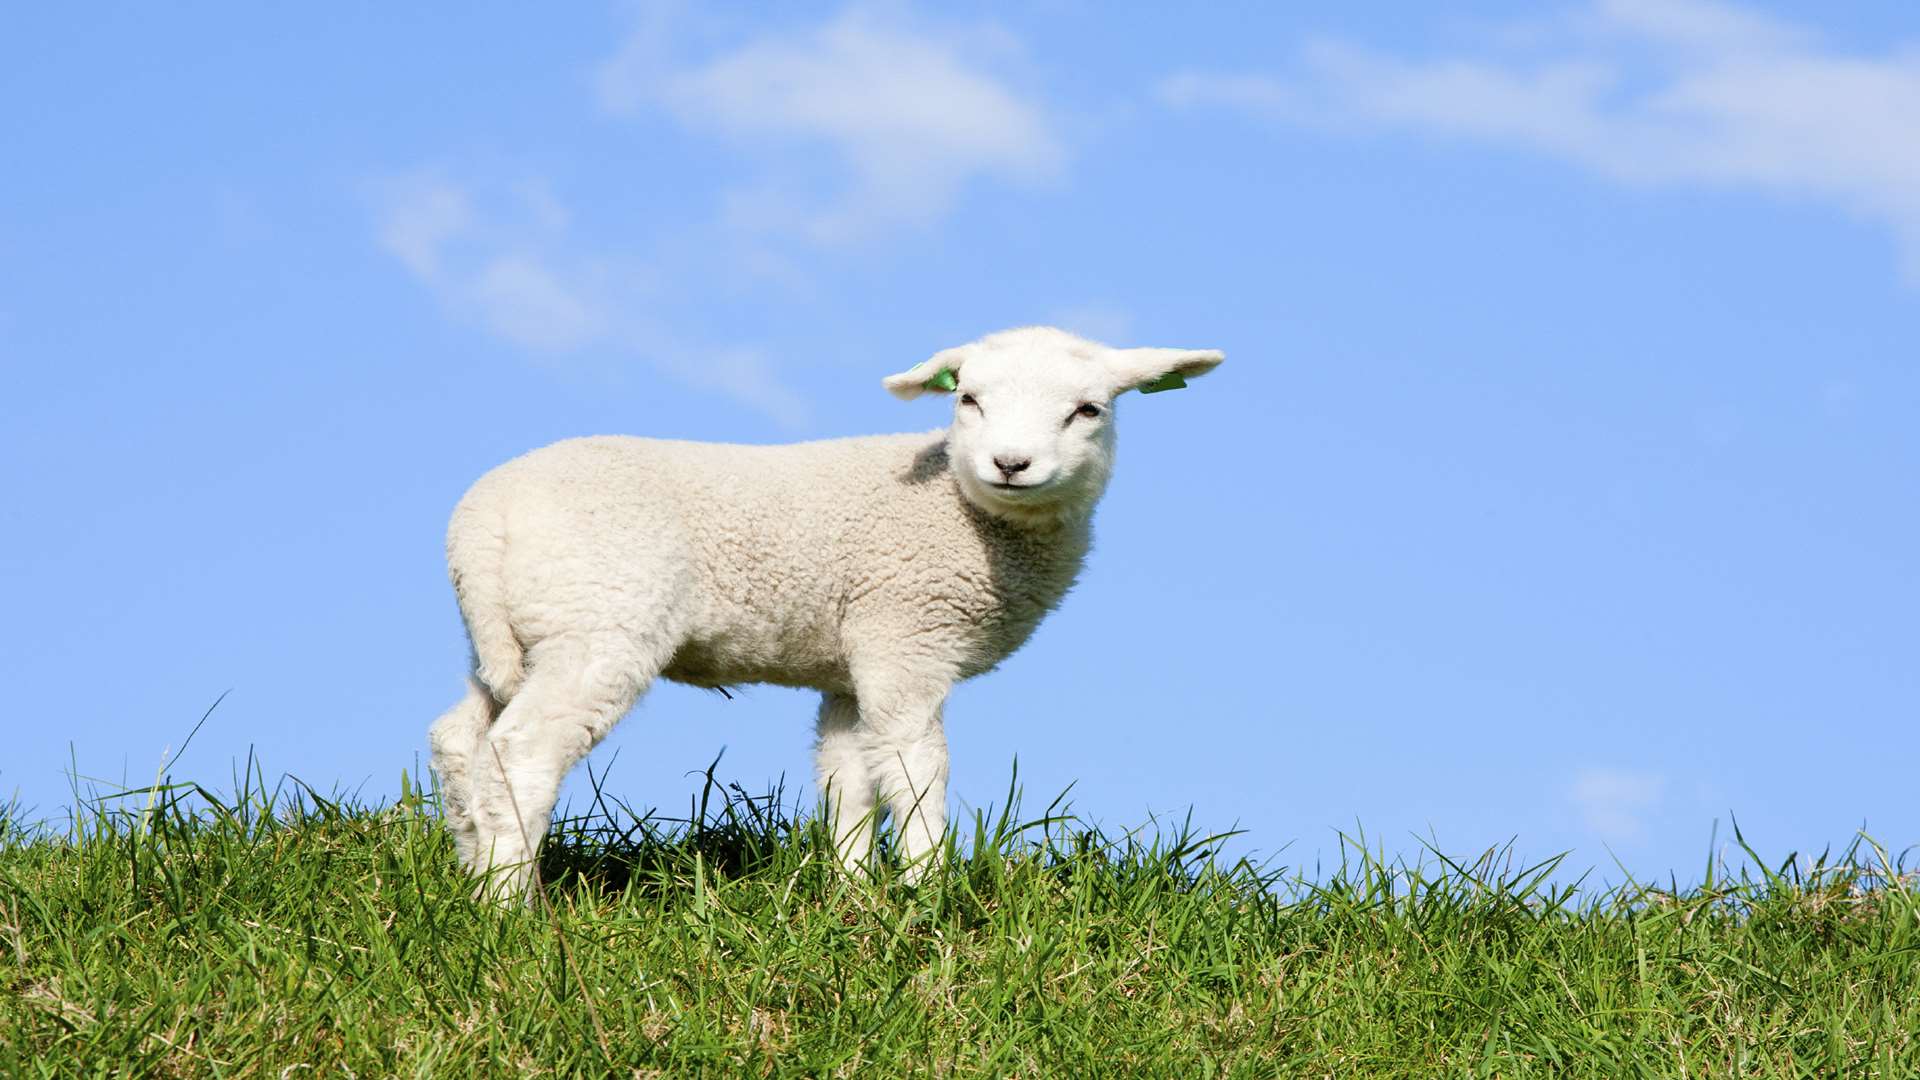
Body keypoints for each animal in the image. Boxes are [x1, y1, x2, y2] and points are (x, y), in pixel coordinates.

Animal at [428, 322, 1221, 895]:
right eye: (967, 399)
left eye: (1089, 410)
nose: (1011, 464)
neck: (965, 513)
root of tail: (483, 519)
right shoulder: (906, 638)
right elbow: (916, 767)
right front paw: (928, 887)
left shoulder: (850, 663)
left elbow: (847, 777)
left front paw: (853, 889)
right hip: (601, 619)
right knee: (522, 751)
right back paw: (514, 906)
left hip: (511, 636)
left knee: (459, 739)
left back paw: (474, 878)